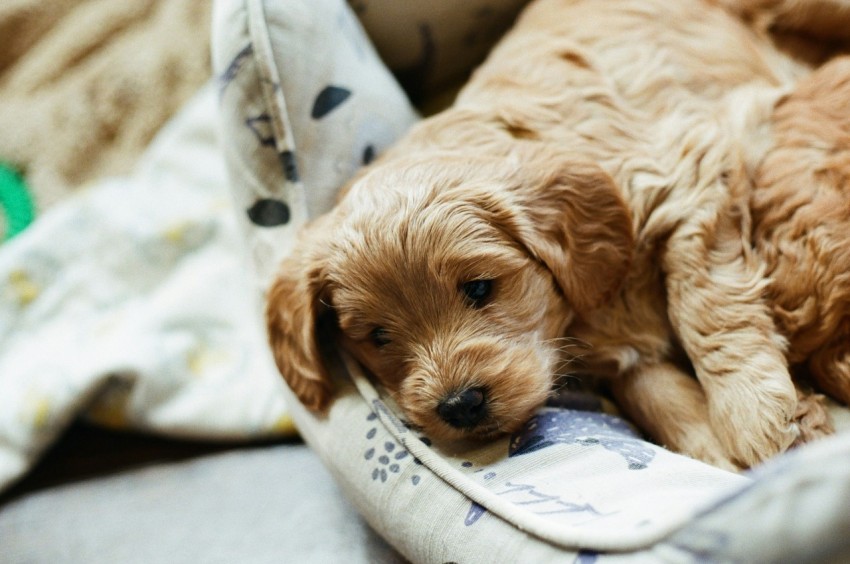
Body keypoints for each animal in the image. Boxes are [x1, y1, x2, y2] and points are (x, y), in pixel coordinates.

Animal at [264, 0, 840, 470]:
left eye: (480, 288)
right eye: (379, 337)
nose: (460, 406)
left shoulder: (694, 175)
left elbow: (706, 305)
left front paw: (755, 410)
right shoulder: (623, 357)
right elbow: (656, 392)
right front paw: (716, 449)